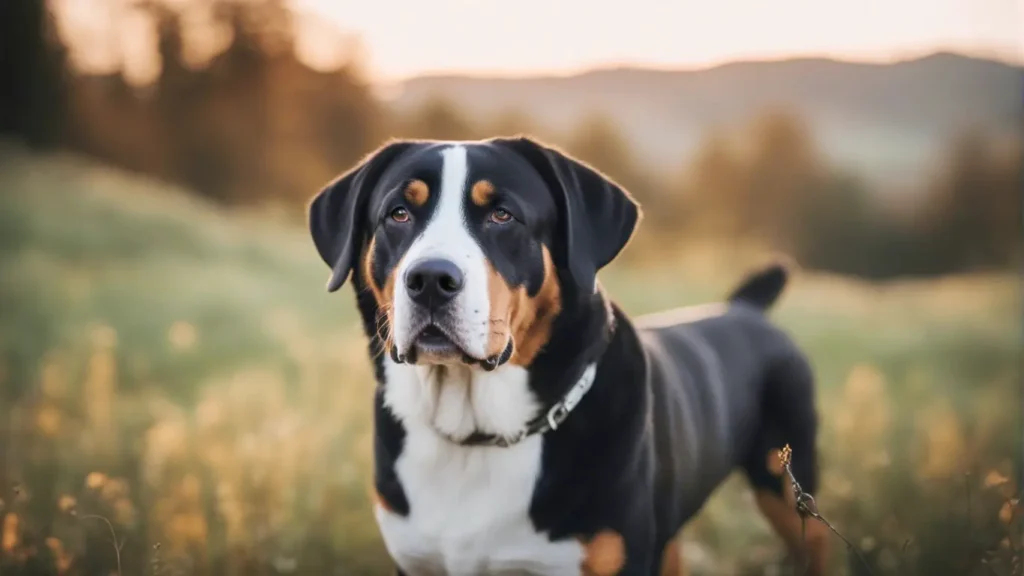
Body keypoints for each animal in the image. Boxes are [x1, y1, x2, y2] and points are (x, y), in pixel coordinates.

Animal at [307, 135, 827, 573]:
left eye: (502, 215)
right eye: (398, 213)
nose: (431, 279)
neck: (477, 435)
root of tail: (746, 305)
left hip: (788, 489)